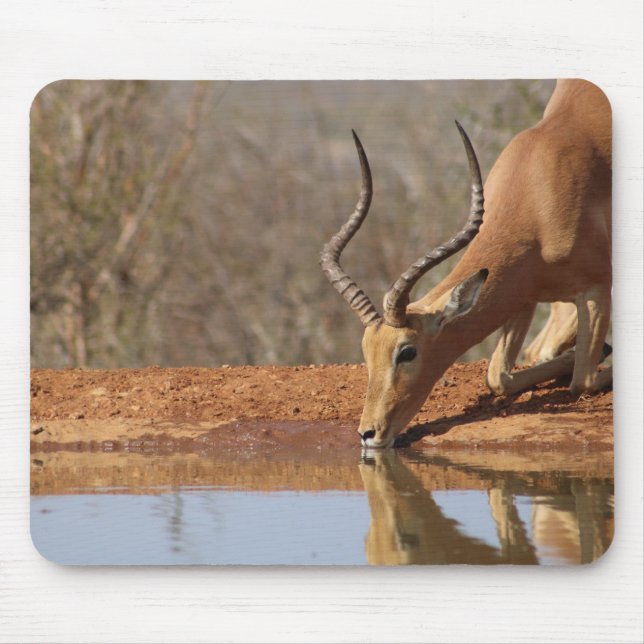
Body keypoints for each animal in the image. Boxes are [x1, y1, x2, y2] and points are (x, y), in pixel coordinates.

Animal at [321, 80, 612, 448]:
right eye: (366, 350)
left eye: (407, 351)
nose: (368, 433)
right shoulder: (522, 291)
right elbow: (498, 376)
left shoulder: (597, 288)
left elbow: (583, 380)